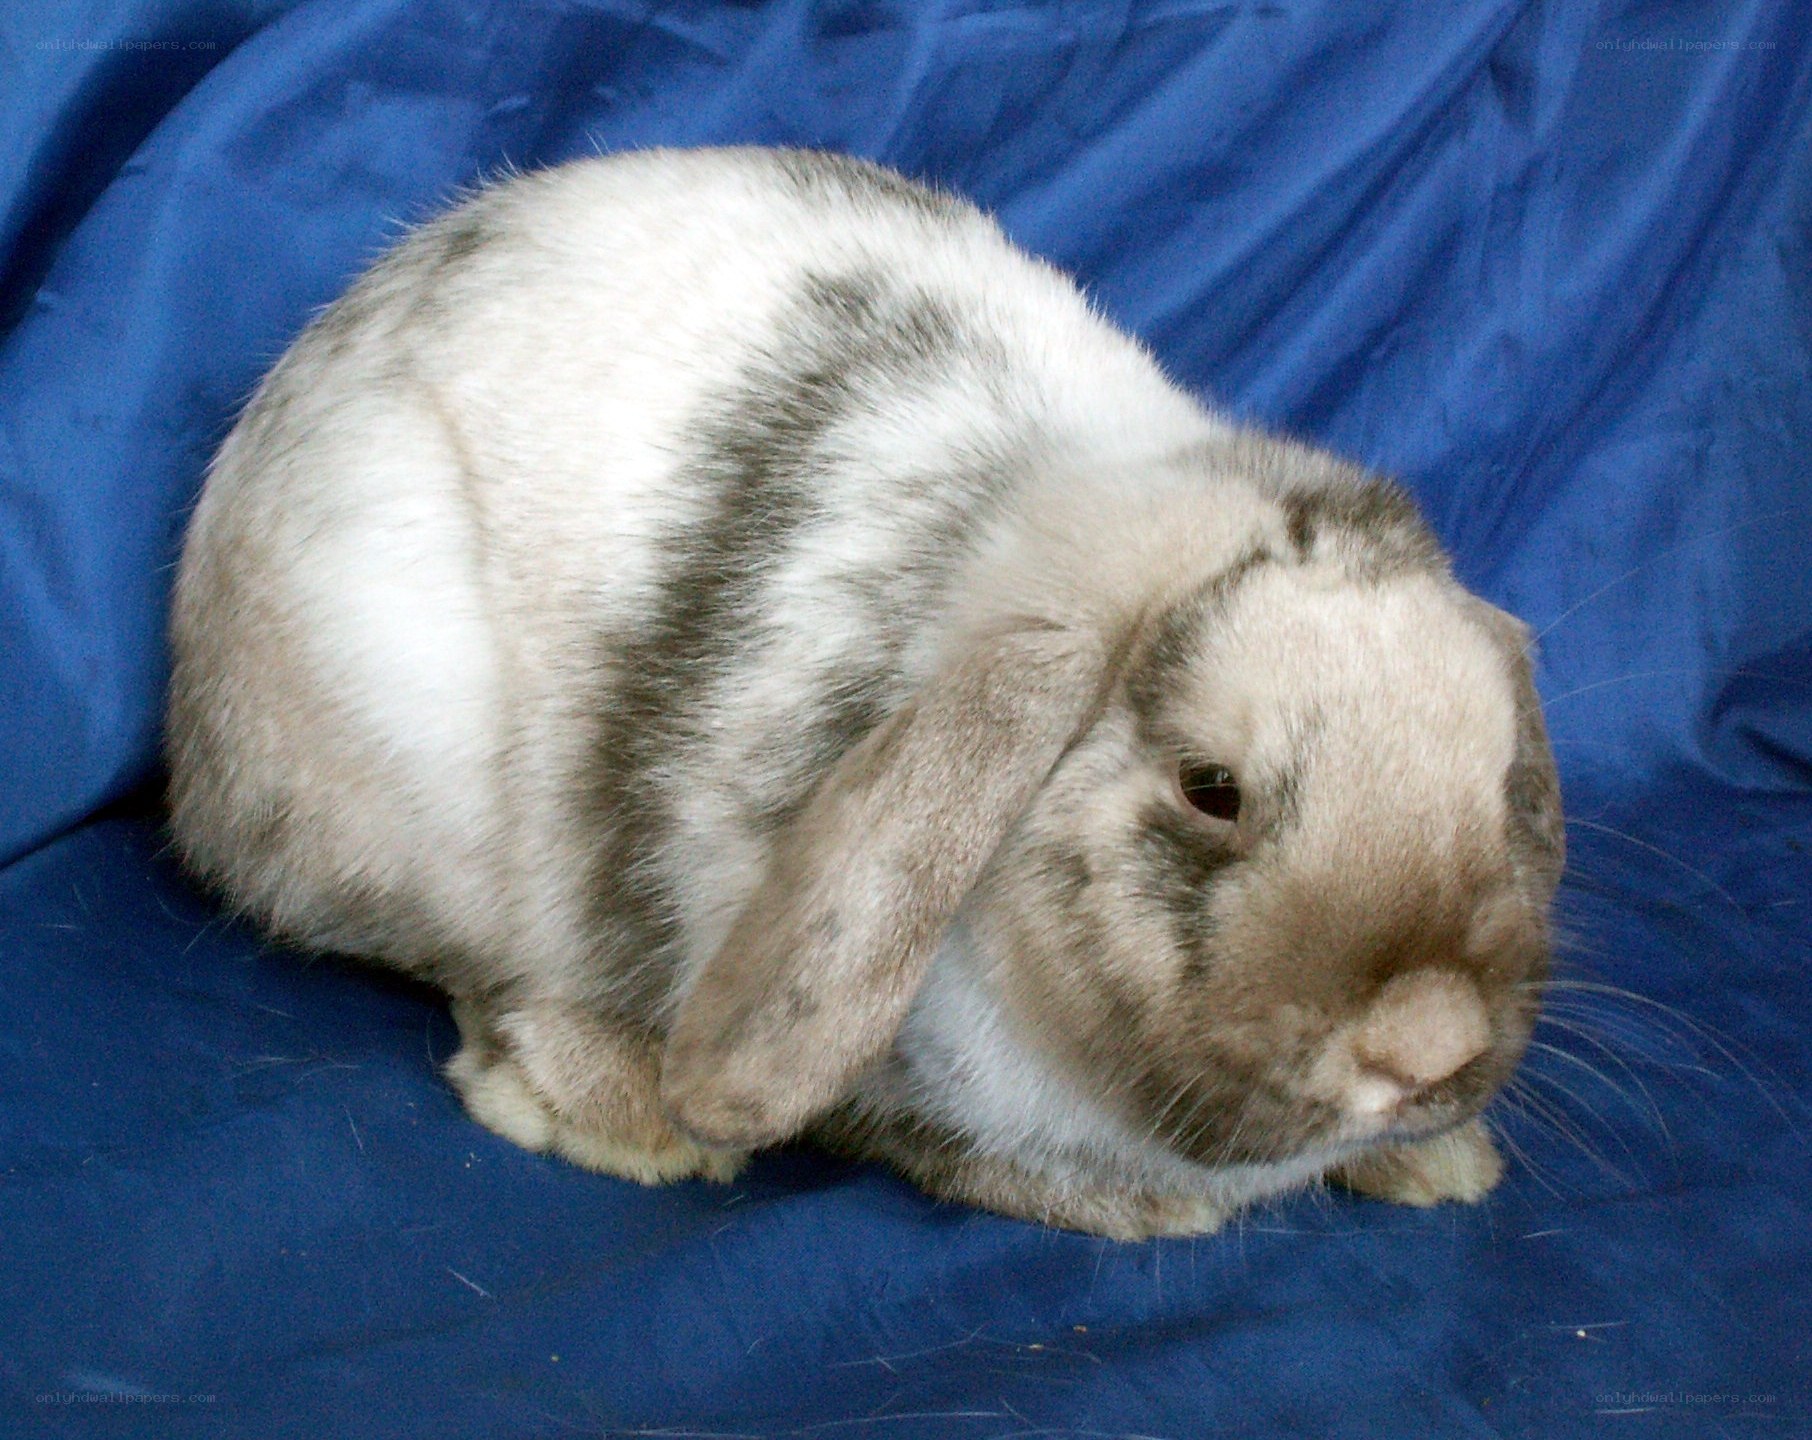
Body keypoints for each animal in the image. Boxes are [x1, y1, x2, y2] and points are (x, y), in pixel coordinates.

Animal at [166, 146, 1564, 1241]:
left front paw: (1440, 1167)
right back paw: (619, 1110)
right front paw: (1148, 1206)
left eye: (1503, 788)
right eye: (1210, 788)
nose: (1427, 1044)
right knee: (471, 966)